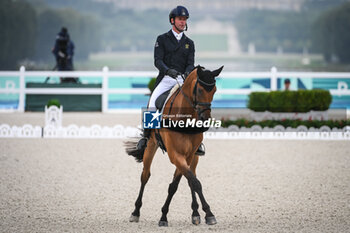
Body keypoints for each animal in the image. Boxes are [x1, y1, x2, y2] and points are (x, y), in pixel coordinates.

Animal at [126, 65, 224, 226]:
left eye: (214, 90)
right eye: (199, 90)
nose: (205, 120)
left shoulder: (187, 155)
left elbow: (180, 184)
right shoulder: (175, 155)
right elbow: (193, 182)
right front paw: (208, 213)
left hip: (194, 157)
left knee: (190, 177)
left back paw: (195, 214)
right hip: (151, 146)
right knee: (145, 176)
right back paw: (135, 212)